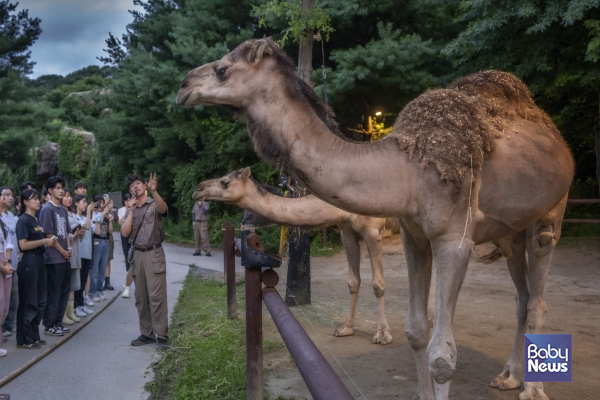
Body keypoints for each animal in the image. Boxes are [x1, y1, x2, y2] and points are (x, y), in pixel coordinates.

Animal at [176, 38, 576, 400]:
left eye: (222, 69)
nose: (183, 87)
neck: (405, 171)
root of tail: (559, 142)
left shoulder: (444, 237)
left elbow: (436, 350)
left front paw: (382, 334)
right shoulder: (405, 234)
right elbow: (410, 328)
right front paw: (349, 329)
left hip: (551, 215)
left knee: (537, 295)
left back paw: (533, 390)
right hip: (509, 234)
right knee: (521, 297)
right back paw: (508, 376)